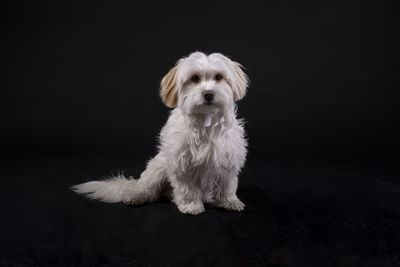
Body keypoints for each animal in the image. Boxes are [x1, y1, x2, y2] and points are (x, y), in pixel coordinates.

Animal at [72, 52, 247, 216]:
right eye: (195, 78)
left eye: (219, 77)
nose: (209, 94)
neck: (206, 122)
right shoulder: (180, 164)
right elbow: (187, 188)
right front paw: (191, 204)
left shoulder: (229, 162)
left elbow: (227, 186)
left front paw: (229, 201)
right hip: (158, 169)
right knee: (148, 190)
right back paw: (135, 195)